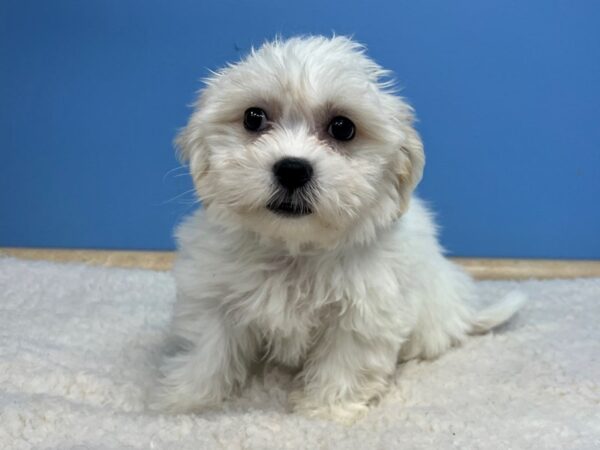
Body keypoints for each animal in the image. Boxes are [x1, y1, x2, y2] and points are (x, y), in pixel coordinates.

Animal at [151, 35, 524, 422]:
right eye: (253, 118)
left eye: (342, 128)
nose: (292, 169)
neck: (294, 248)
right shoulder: (212, 295)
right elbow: (207, 349)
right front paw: (183, 402)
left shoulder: (364, 311)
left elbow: (345, 361)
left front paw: (324, 411)